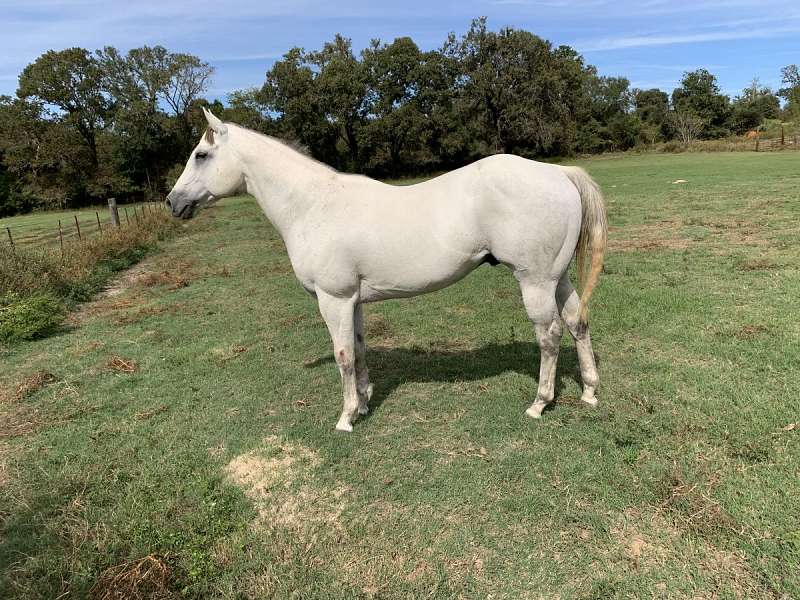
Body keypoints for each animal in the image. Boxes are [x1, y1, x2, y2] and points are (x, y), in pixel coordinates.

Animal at [167, 108, 608, 432]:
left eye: (201, 155)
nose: (172, 202)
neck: (313, 205)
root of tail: (557, 172)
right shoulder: (353, 301)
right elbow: (360, 348)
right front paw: (363, 403)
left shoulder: (334, 300)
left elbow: (343, 354)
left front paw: (346, 418)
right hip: (557, 278)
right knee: (577, 322)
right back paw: (589, 392)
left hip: (535, 281)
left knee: (549, 335)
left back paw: (539, 403)